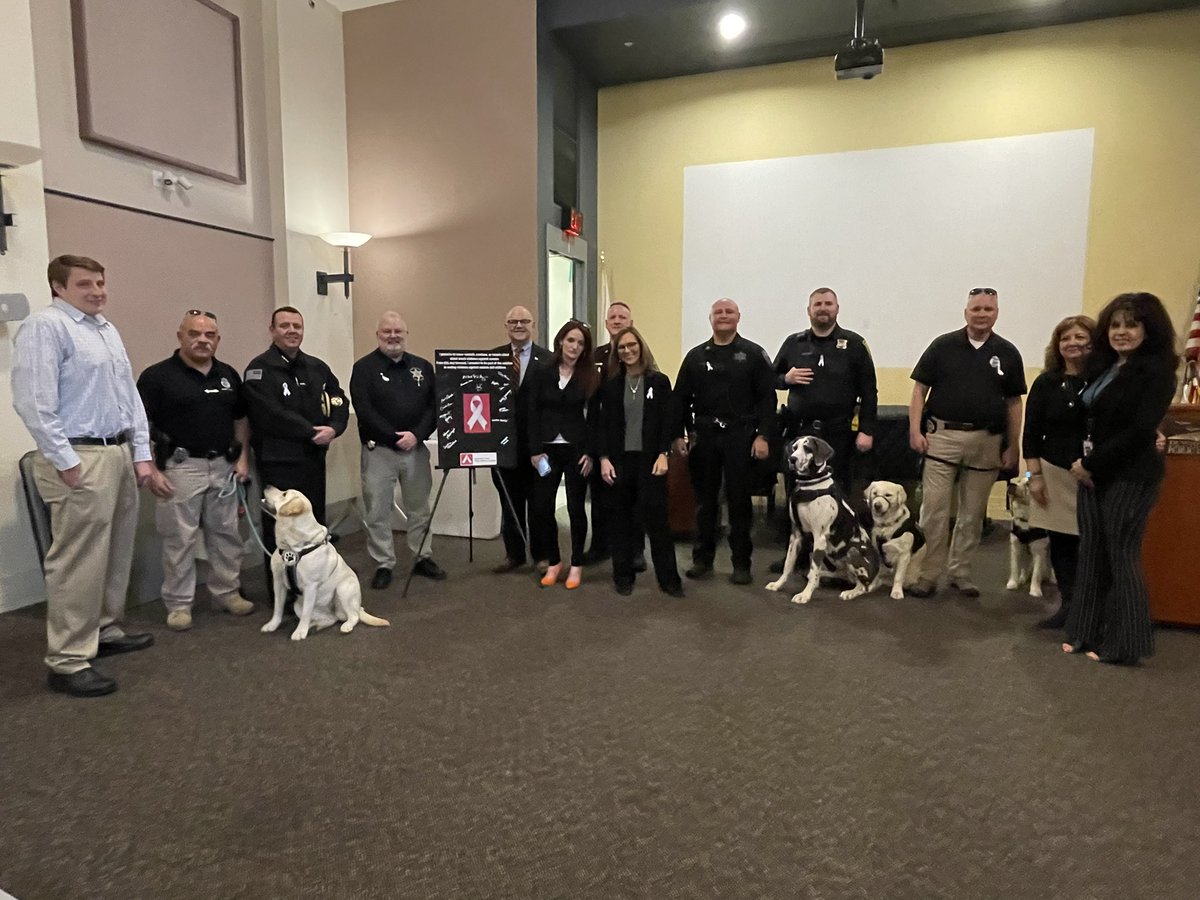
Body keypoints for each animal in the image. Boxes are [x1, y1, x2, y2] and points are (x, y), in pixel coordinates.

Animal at [261, 487, 388, 643]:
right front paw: (272, 625)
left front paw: (299, 632)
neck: (292, 547)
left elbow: (306, 614)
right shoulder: (278, 582)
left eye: (284, 494)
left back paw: (346, 626)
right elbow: (277, 608)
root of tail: (359, 607)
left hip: (343, 589)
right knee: (330, 619)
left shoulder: (310, 586)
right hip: (298, 605)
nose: (267, 486)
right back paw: (314, 627)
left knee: (354, 616)